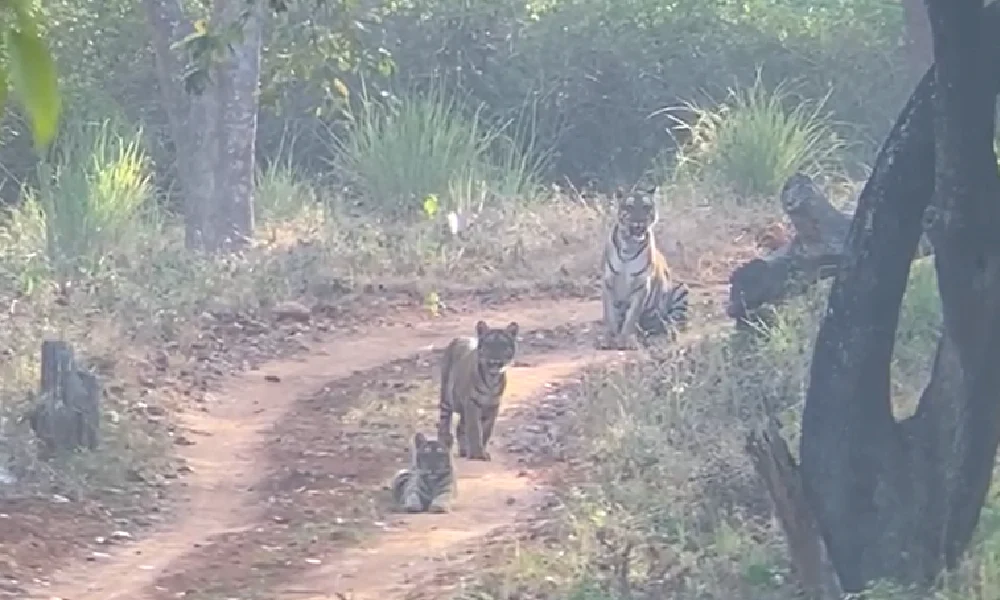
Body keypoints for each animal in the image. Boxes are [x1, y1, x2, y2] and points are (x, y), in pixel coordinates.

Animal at [438, 322, 520, 462]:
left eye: (503, 345)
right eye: (488, 345)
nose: (495, 361)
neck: (492, 380)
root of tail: (458, 338)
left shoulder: (493, 406)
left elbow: (486, 430)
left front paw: (482, 452)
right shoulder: (472, 403)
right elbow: (475, 429)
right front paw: (477, 454)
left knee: (460, 427)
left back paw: (464, 451)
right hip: (447, 398)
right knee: (444, 421)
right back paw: (444, 444)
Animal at [596, 185, 692, 350]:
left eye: (646, 207)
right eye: (630, 206)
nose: (639, 221)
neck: (629, 246)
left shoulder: (641, 285)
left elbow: (631, 316)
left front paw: (626, 339)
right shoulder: (608, 282)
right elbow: (609, 314)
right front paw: (609, 338)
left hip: (681, 288)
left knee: (673, 320)